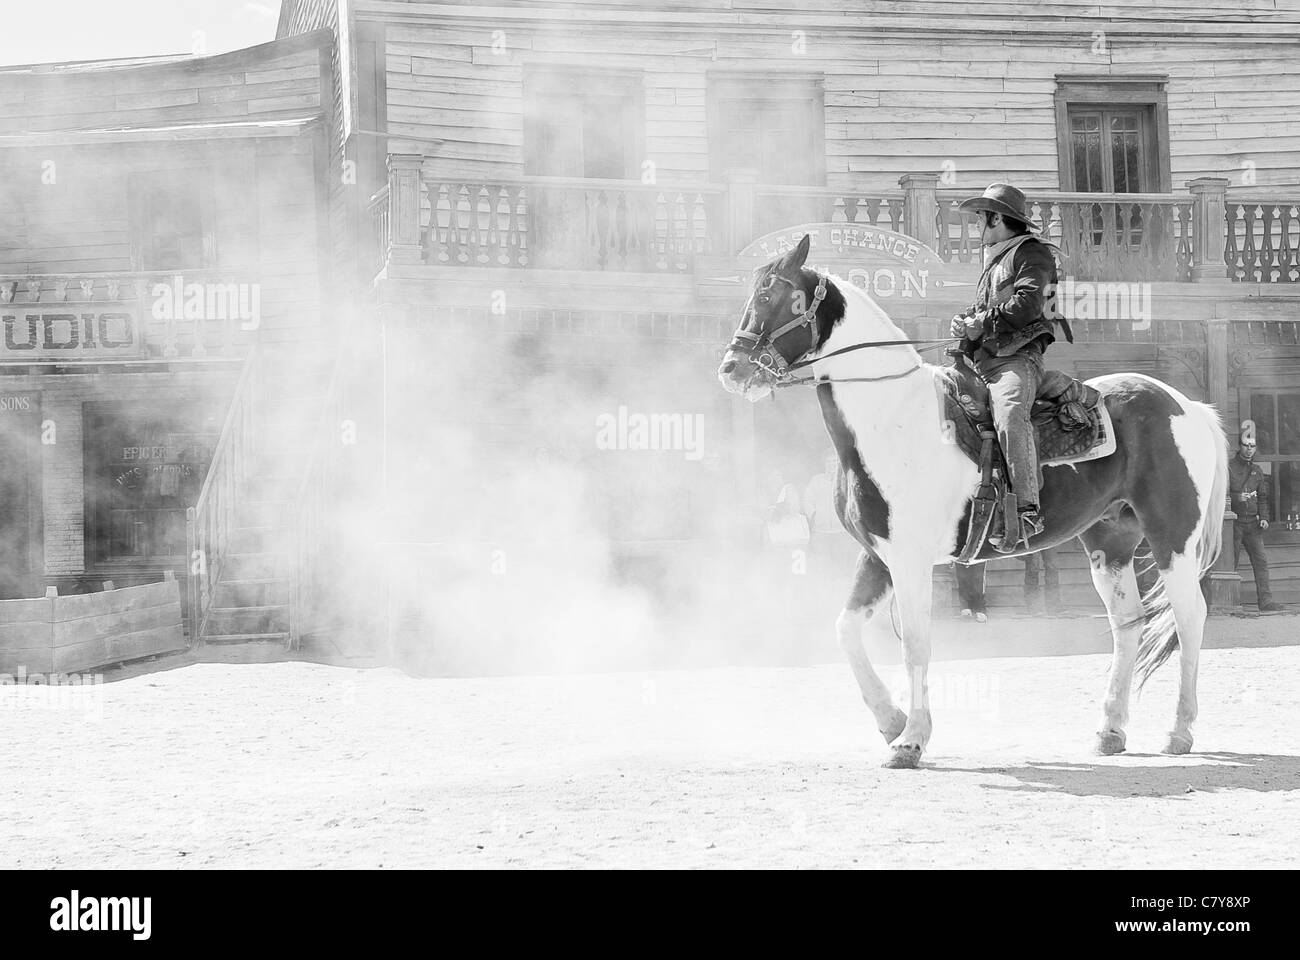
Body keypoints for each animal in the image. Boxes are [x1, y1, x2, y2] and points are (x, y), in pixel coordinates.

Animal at [717, 235, 1222, 764]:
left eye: (775, 296)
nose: (732, 369)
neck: (891, 415)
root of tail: (1186, 405)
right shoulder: (877, 556)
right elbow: (846, 630)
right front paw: (890, 720)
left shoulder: (910, 560)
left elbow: (915, 645)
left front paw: (911, 739)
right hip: (1111, 541)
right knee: (1128, 623)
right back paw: (1110, 730)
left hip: (1172, 537)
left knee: (1189, 617)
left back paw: (1179, 730)